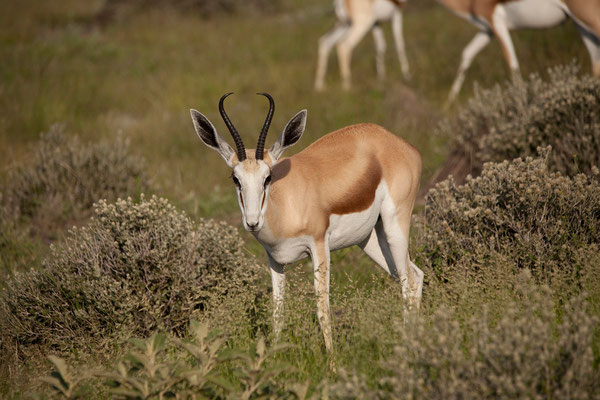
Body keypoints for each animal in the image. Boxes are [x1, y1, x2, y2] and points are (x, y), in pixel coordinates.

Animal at [191, 93, 422, 350]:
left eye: (267, 177)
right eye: (235, 178)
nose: (252, 222)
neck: (283, 208)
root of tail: (403, 145)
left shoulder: (319, 246)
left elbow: (322, 308)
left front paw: (331, 358)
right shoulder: (275, 260)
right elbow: (278, 311)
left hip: (394, 226)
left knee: (410, 283)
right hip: (370, 238)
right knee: (415, 276)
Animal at [438, 0, 600, 104]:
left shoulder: (495, 21)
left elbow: (512, 65)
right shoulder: (487, 30)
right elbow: (468, 52)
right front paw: (449, 104)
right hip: (580, 23)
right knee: (595, 62)